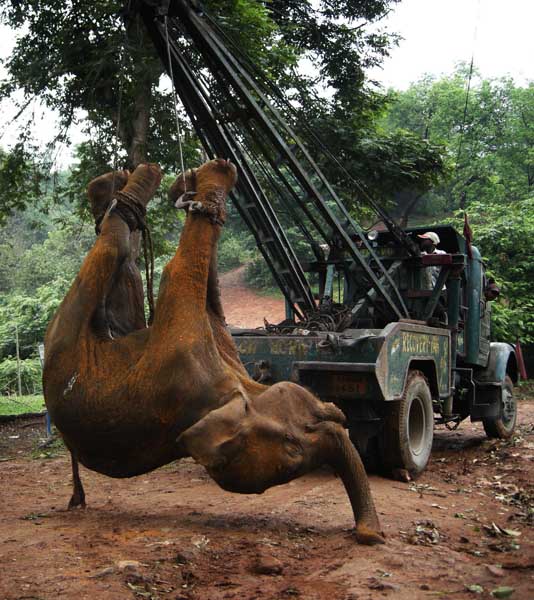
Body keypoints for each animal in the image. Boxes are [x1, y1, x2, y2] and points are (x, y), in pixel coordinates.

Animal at [42, 159, 386, 544]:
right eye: (292, 445)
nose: (368, 535)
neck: (234, 390)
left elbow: (203, 285)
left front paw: (190, 185)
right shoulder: (184, 355)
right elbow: (178, 271)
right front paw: (212, 174)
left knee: (123, 258)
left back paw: (112, 187)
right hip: (65, 335)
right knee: (113, 249)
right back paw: (133, 181)